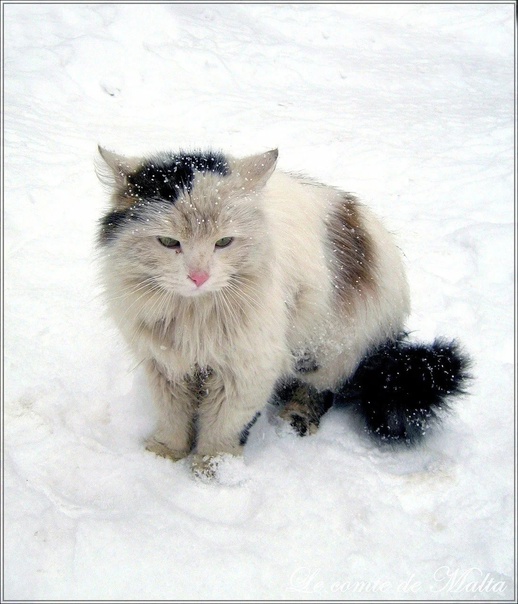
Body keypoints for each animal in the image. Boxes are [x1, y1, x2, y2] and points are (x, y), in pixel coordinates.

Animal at [95, 147, 474, 482]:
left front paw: (214, 471)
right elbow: (173, 416)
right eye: (169, 242)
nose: (199, 276)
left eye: (224, 242)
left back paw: (297, 418)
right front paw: (164, 454)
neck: (193, 318)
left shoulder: (248, 367)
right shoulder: (165, 364)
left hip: (332, 348)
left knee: (321, 390)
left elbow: (222, 424)